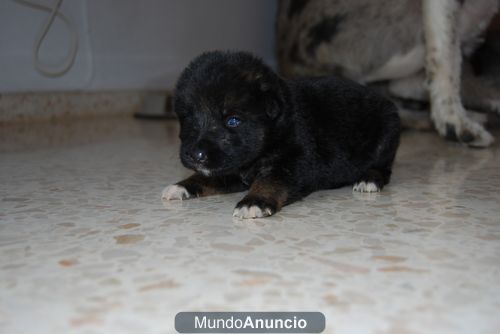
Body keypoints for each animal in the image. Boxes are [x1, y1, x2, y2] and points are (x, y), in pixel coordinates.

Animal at [162, 51, 400, 218]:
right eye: (189, 118)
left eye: (232, 120)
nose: (196, 155)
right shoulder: (230, 167)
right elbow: (206, 176)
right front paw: (182, 186)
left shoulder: (296, 162)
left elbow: (271, 181)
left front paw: (254, 202)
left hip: (387, 135)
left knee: (384, 168)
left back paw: (368, 180)